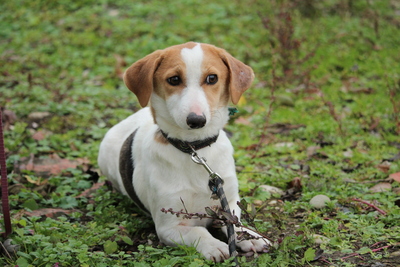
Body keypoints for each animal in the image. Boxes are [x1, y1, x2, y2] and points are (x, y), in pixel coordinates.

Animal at [97, 42, 268, 262]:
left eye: (212, 78)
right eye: (174, 79)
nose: (196, 120)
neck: (194, 150)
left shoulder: (229, 200)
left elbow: (234, 222)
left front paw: (249, 235)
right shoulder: (168, 226)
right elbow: (198, 231)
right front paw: (214, 245)